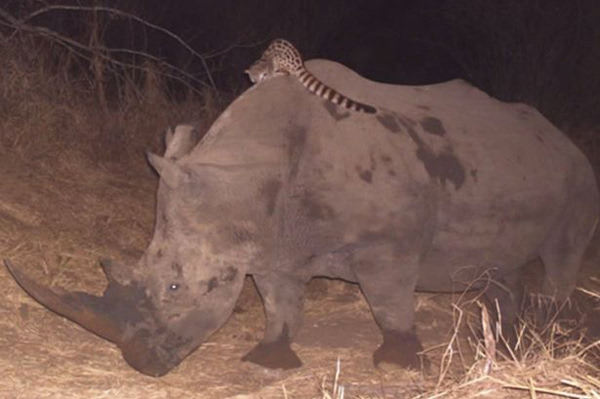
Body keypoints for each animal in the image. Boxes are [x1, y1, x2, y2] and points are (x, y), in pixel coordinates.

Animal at [244, 38, 376, 114]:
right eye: (253, 79)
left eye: (263, 76)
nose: (258, 83)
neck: (262, 63)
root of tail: (299, 64)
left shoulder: (272, 63)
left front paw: (269, 78)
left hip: (282, 58)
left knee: (287, 72)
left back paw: (281, 73)